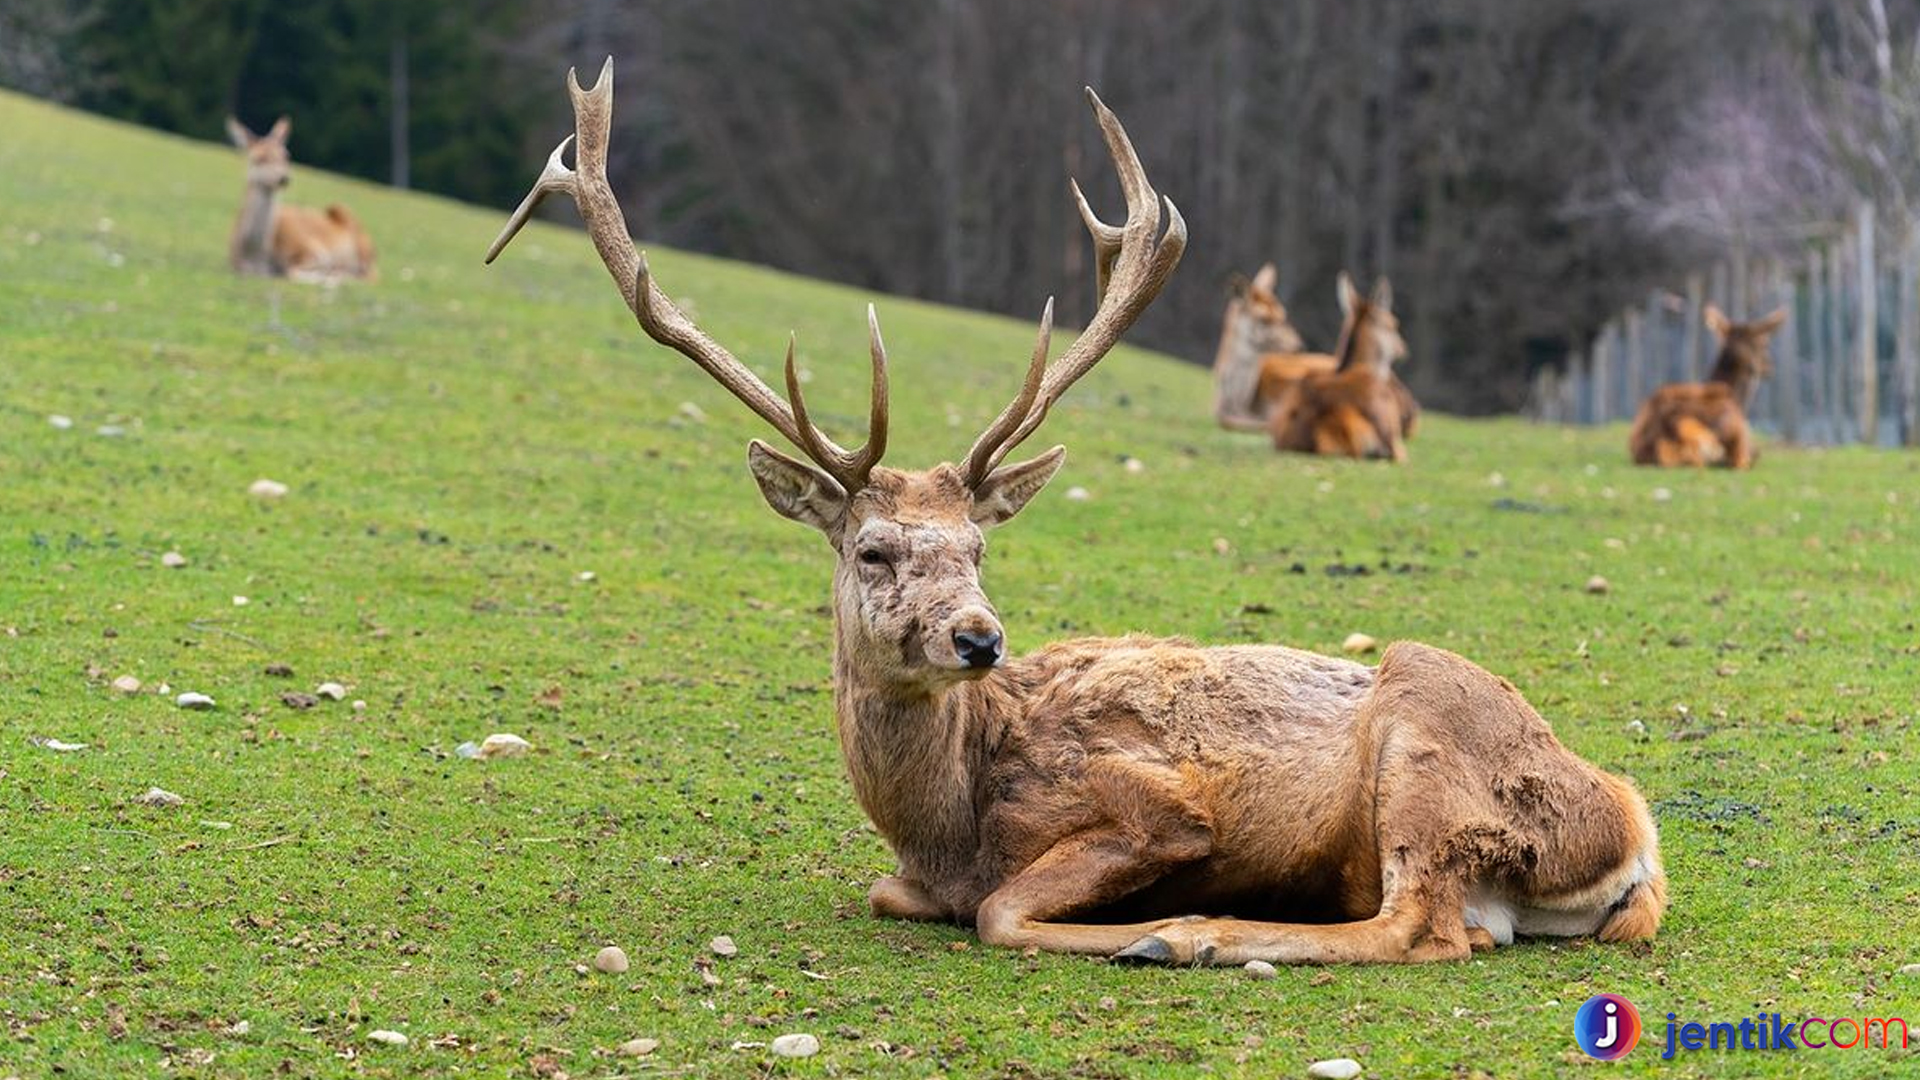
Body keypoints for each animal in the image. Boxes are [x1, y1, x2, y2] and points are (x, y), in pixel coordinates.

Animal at [224, 115, 374, 278]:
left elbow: (293, 272)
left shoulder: (312, 251)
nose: (284, 178)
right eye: (259, 158)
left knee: (371, 275)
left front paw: (329, 277)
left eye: (286, 156)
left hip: (361, 244)